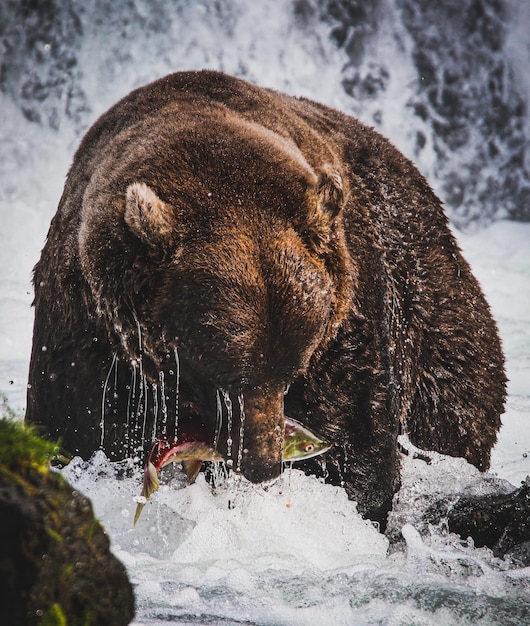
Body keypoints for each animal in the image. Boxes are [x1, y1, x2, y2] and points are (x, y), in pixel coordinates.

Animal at [25, 70, 504, 524]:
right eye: (226, 377)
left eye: (291, 373)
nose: (262, 465)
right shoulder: (87, 333)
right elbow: (76, 426)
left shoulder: (347, 315)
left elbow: (354, 429)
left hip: (429, 303)